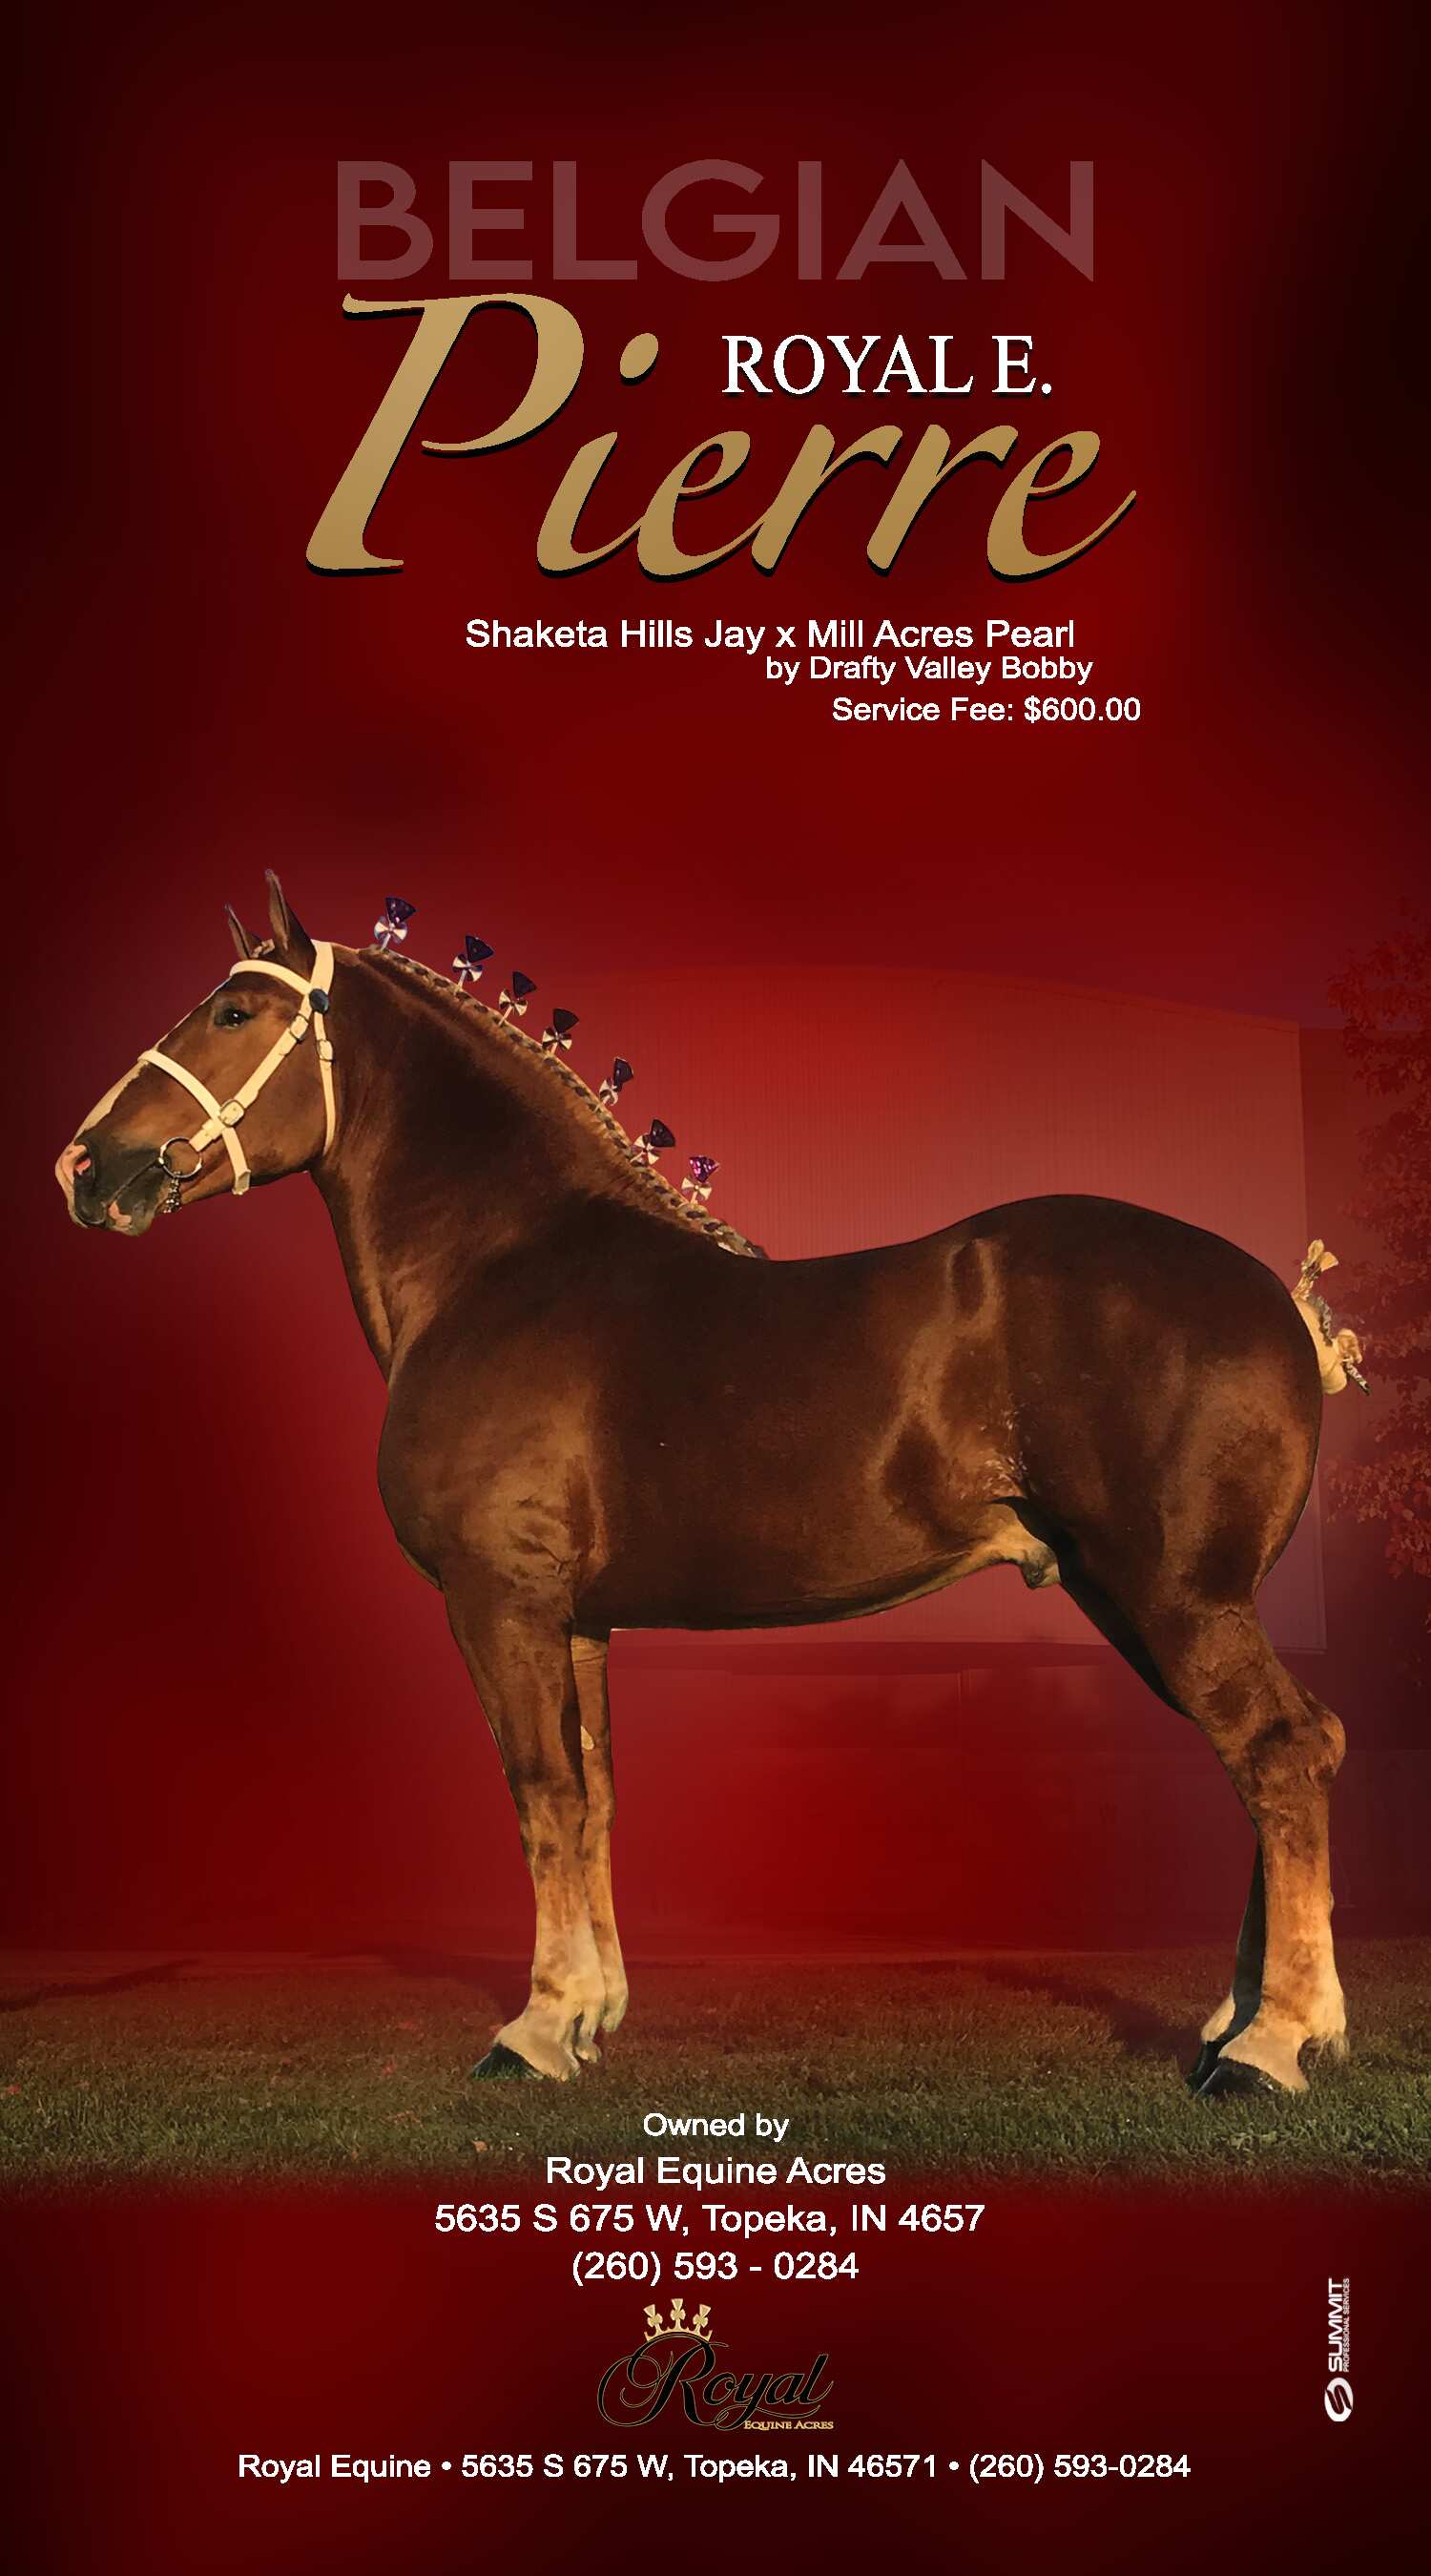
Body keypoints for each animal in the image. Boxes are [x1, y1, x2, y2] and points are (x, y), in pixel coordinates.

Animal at [56, 874, 1360, 2099]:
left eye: (233, 1011)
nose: (86, 1166)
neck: (505, 1265)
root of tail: (1274, 1298)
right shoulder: (579, 1622)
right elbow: (593, 1798)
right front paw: (588, 2016)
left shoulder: (499, 1600)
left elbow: (539, 1794)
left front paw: (531, 2032)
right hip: (1133, 1595)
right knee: (1290, 1750)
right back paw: (1245, 2021)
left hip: (1176, 1594)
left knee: (1280, 1753)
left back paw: (1270, 2047)